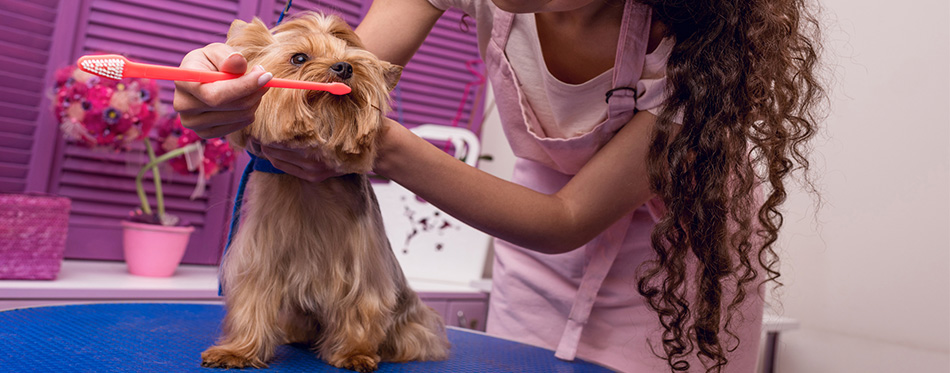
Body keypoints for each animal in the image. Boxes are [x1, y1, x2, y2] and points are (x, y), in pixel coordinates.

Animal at [199, 10, 452, 370]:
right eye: (299, 58)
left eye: (353, 61)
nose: (343, 68)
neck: (308, 186)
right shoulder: (260, 260)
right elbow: (252, 303)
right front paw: (237, 351)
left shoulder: (362, 269)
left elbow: (362, 306)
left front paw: (355, 354)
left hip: (411, 319)